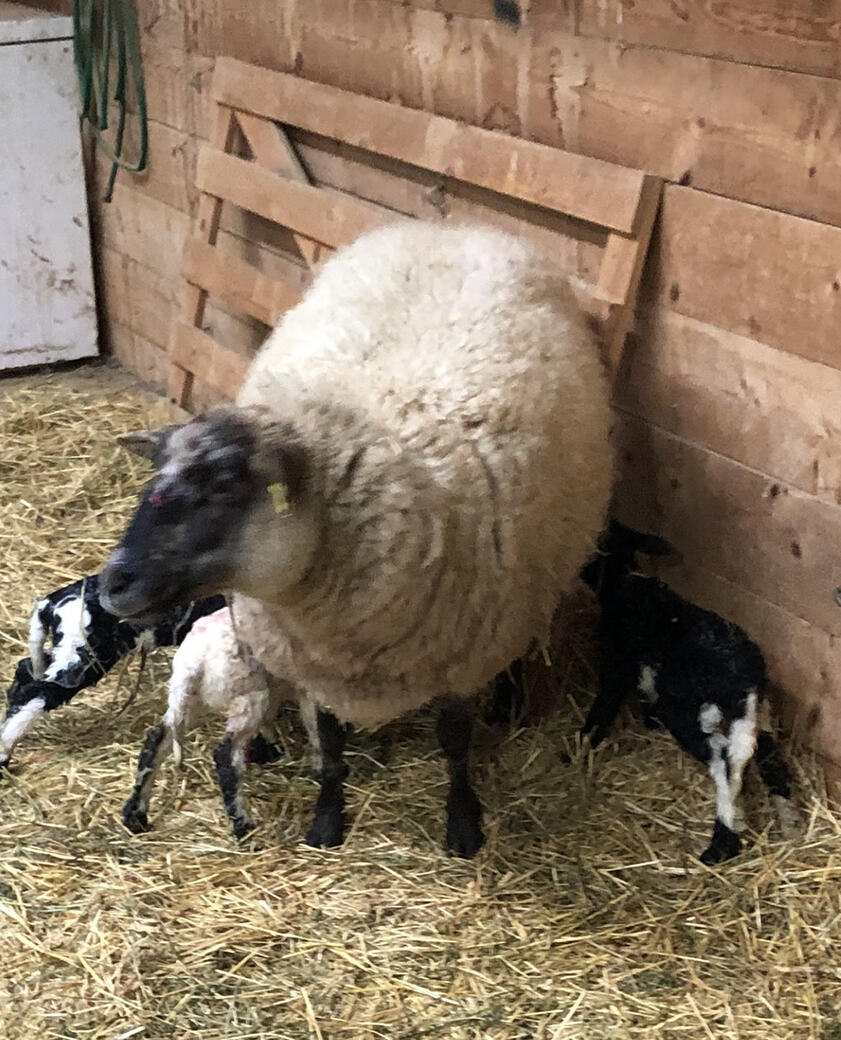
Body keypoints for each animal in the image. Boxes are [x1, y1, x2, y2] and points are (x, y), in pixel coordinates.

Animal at [582, 524, 798, 865]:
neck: (625, 582)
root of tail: (744, 671)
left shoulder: (617, 663)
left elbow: (604, 704)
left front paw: (580, 747)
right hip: (755, 711)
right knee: (764, 755)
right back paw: (790, 823)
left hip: (692, 713)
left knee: (722, 762)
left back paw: (723, 840)